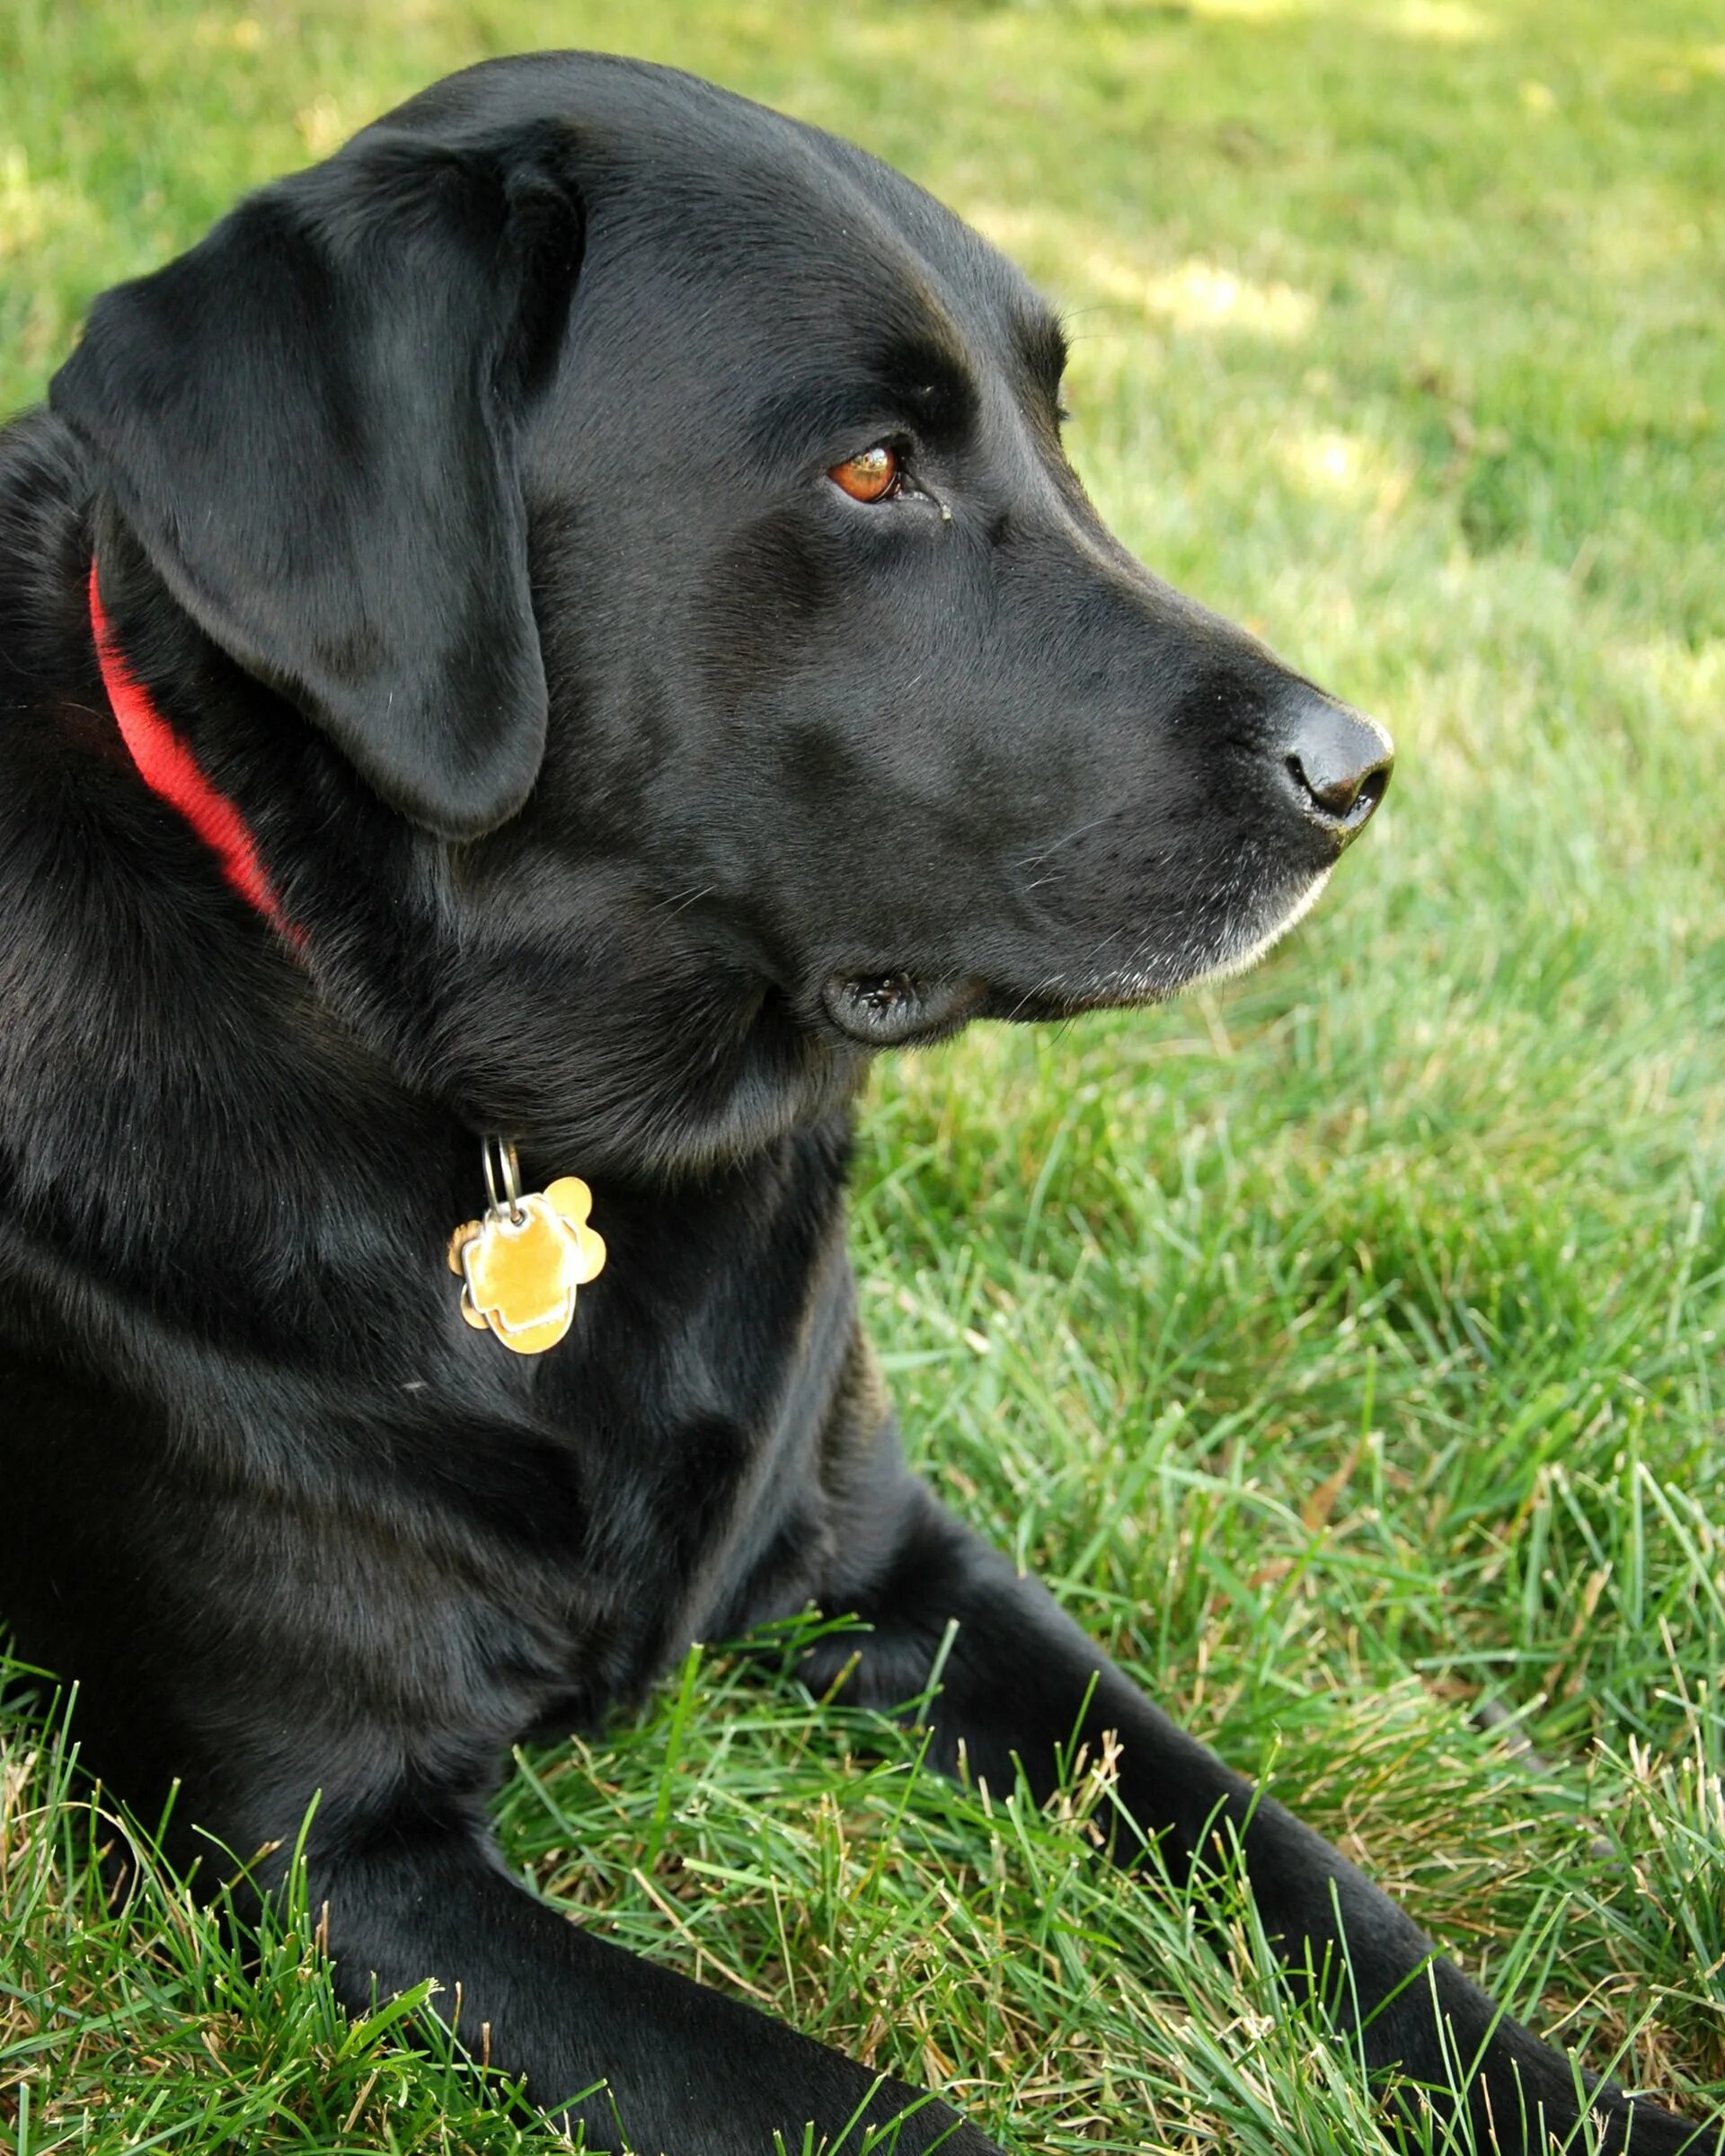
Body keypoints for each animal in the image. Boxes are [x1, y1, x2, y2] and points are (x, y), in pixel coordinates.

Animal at [0, 50, 1699, 2156]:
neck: (528, 1110)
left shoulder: (911, 1565)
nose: (1358, 771)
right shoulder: (314, 1850)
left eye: (1060, 426)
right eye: (874, 473)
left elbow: (1313, 1874)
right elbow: (852, 2107)